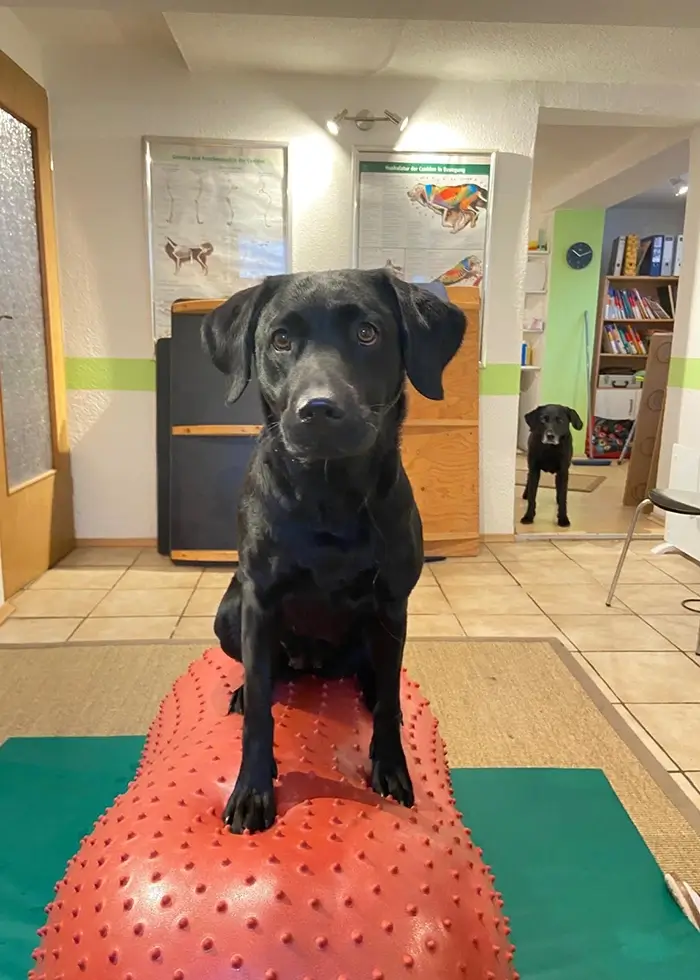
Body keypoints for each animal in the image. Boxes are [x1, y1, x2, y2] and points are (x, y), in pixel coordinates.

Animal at [201, 264, 464, 832]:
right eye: (280, 340)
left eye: (367, 333)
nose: (319, 410)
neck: (329, 497)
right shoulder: (259, 600)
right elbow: (260, 709)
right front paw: (252, 789)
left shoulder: (392, 602)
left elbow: (386, 701)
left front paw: (391, 768)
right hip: (230, 613)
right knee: (263, 674)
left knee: (380, 677)